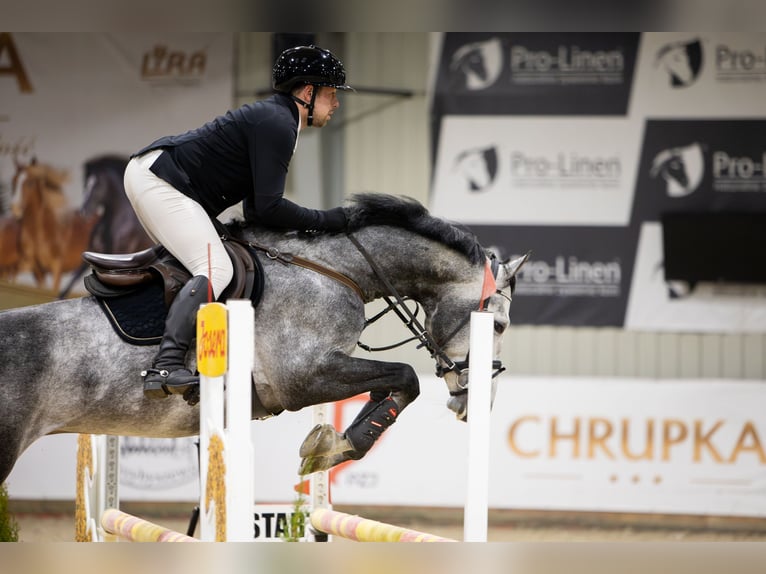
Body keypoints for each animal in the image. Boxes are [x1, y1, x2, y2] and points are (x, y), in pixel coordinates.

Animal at [0, 194, 528, 484]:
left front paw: (332, 441)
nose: (477, 403)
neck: (335, 269)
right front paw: (337, 448)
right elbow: (404, 378)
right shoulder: (303, 377)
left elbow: (392, 386)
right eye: (499, 326)